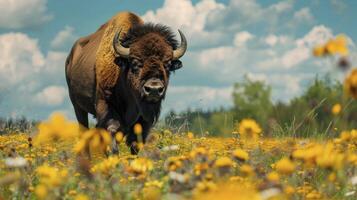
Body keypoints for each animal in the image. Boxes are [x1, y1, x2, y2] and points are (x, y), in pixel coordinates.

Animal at [65, 11, 186, 154]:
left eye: (167, 64)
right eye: (135, 62)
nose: (154, 89)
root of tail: (70, 57)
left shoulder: (143, 120)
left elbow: (135, 143)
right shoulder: (105, 106)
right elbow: (112, 132)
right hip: (77, 106)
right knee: (84, 132)